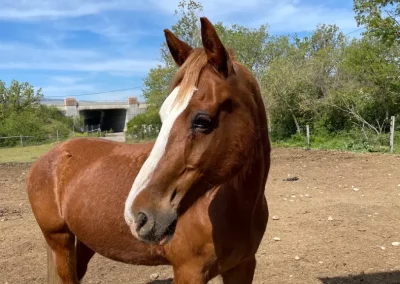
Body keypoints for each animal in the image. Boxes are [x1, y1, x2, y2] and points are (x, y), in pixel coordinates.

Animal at [25, 16, 272, 282]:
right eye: (163, 115)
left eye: (203, 120)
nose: (137, 216)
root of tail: (49, 158)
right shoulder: (189, 272)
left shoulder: (243, 266)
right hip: (59, 241)